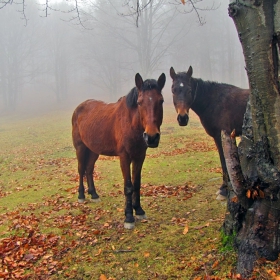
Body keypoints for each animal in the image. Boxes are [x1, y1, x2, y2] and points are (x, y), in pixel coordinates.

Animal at [71, 72, 166, 230]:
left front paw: (139, 210)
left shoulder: (140, 156)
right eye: (139, 102)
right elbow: (128, 186)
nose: (152, 137)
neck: (131, 123)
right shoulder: (124, 157)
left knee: (89, 169)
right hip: (80, 147)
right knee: (81, 169)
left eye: (161, 101)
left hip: (93, 150)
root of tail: (79, 107)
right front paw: (128, 217)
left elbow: (137, 184)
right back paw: (81, 196)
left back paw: (94, 194)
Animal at [170, 66, 248, 199]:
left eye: (189, 90)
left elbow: (224, 161)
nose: (182, 118)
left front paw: (223, 190)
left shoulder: (221, 136)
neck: (213, 102)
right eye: (173, 90)